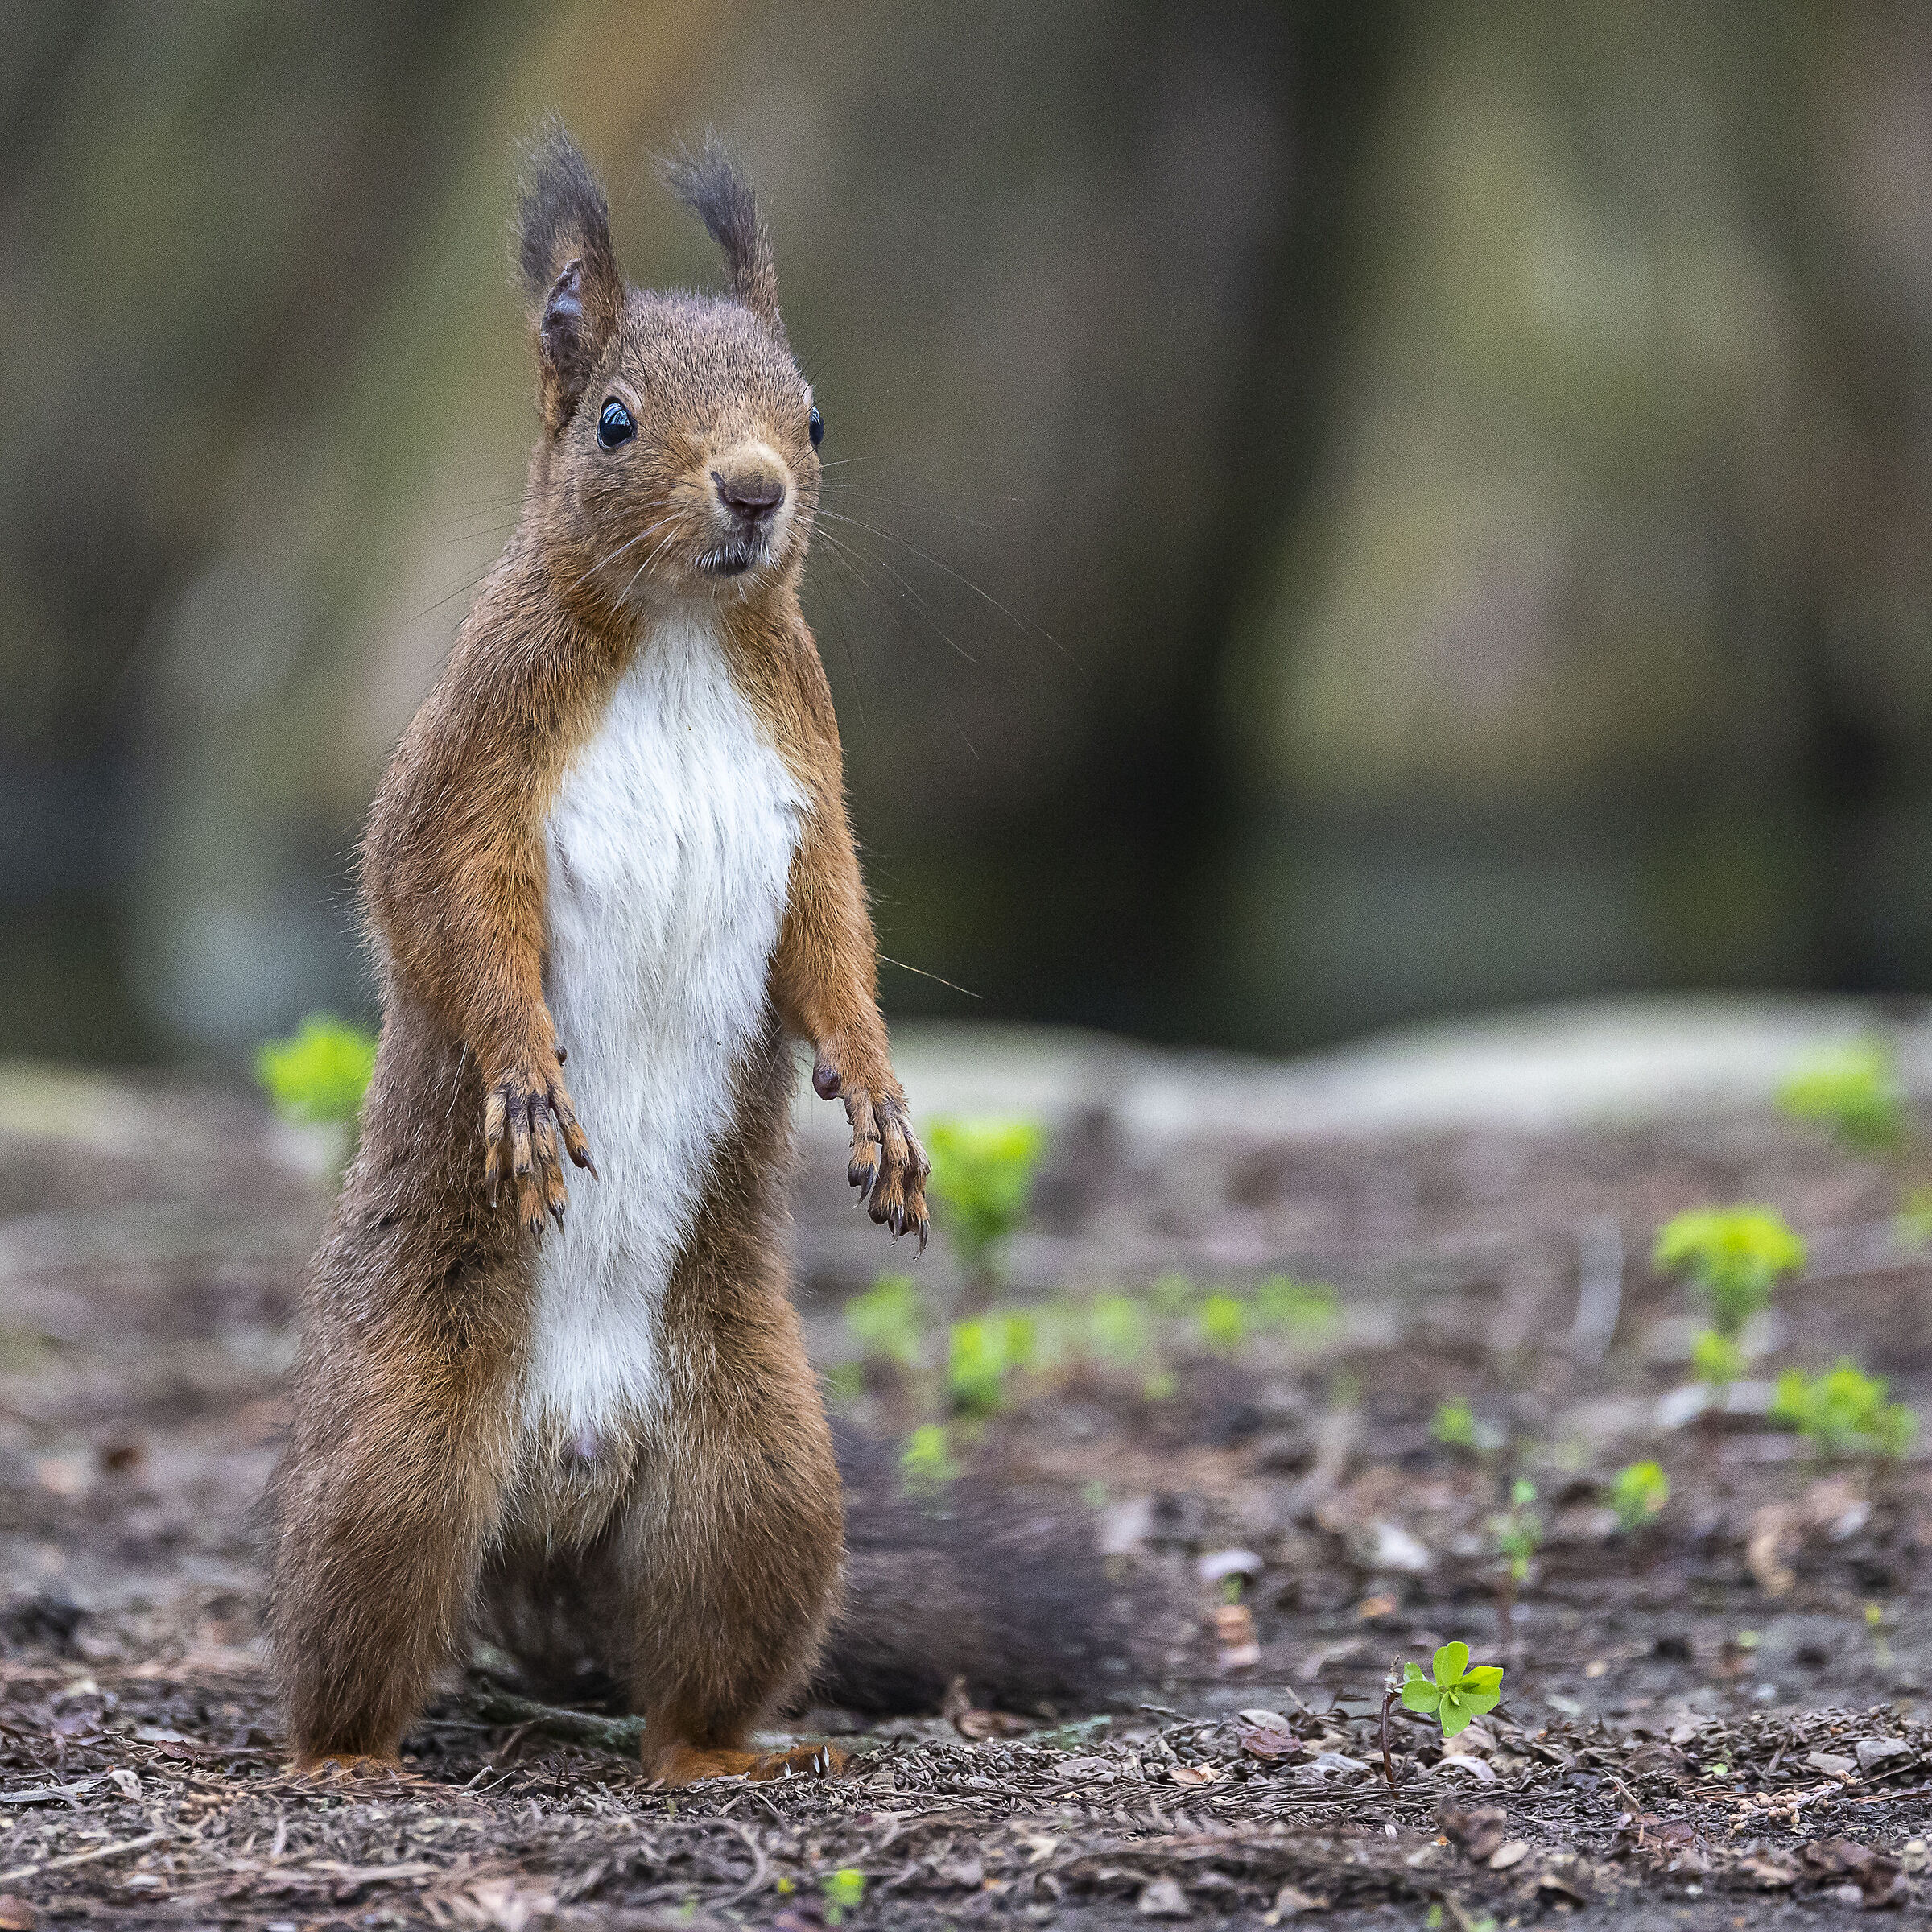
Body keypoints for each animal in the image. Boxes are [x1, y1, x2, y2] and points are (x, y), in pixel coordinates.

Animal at [268, 122, 935, 1788]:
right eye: (617, 419)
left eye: (815, 414)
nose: (757, 489)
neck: (686, 635)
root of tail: (557, 1494)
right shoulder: (477, 768)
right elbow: (448, 908)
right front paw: (520, 1078)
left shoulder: (810, 798)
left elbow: (833, 941)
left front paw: (882, 1096)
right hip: (392, 1458)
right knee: (351, 1627)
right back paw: (350, 1761)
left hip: (759, 1478)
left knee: (697, 1668)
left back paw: (731, 1754)